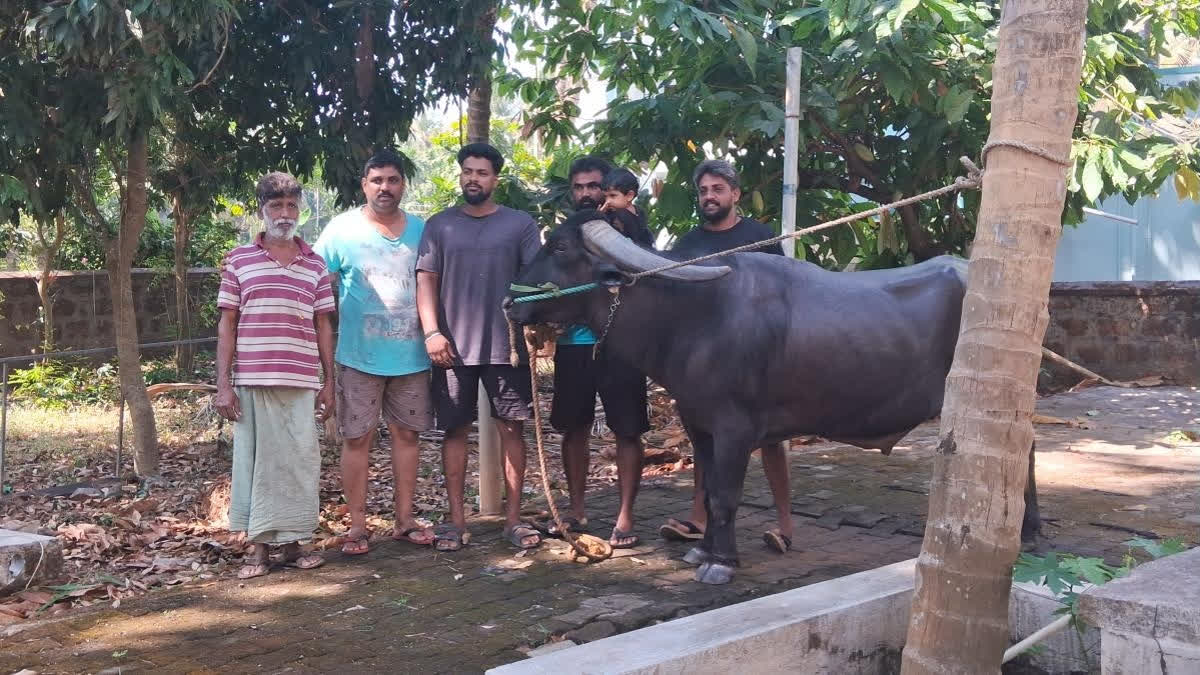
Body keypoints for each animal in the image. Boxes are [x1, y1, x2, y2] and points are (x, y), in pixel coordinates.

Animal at [501, 211, 1036, 583]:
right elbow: (706, 489)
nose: (508, 301)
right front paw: (703, 549)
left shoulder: (735, 429)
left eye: (560, 245)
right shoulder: (698, 424)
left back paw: (1026, 535)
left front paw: (721, 562)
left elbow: (725, 494)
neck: (695, 317)